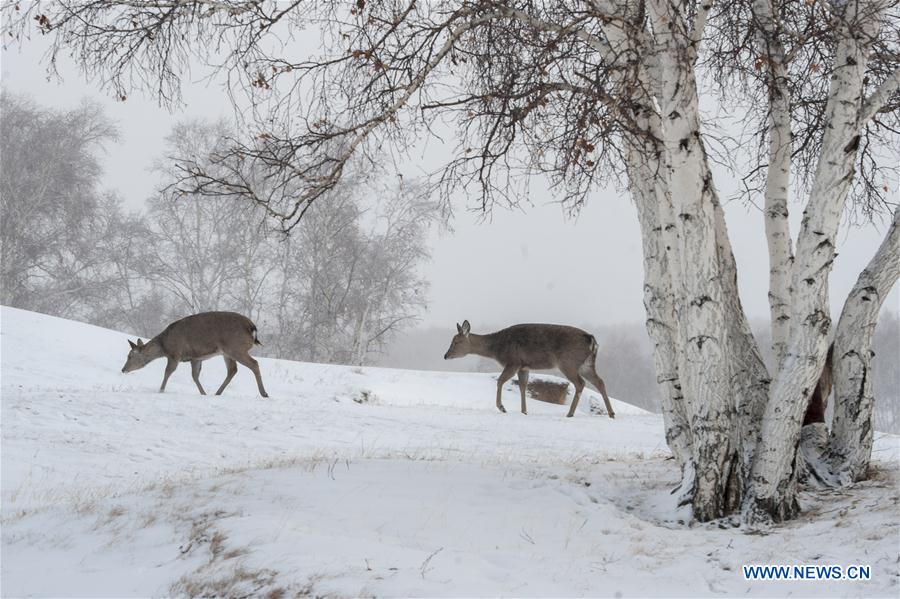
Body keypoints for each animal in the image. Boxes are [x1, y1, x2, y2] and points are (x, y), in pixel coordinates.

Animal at [120, 314, 268, 398]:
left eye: (130, 356)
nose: (123, 369)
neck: (164, 346)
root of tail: (252, 327)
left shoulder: (175, 353)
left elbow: (168, 372)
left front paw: (160, 391)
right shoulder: (195, 357)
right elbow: (195, 376)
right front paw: (203, 393)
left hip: (235, 347)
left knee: (254, 363)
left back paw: (264, 393)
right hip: (227, 352)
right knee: (232, 370)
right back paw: (217, 393)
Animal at [444, 322, 616, 420]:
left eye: (456, 341)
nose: (445, 355)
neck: (497, 349)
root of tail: (592, 340)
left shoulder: (513, 361)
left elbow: (500, 381)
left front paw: (502, 407)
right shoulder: (523, 366)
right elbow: (523, 386)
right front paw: (524, 411)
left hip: (568, 362)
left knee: (580, 383)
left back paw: (570, 413)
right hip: (586, 364)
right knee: (600, 381)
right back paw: (611, 413)